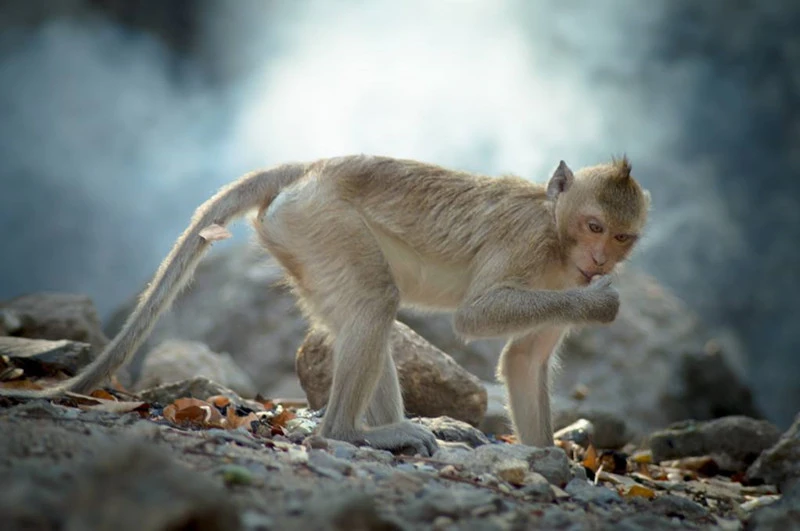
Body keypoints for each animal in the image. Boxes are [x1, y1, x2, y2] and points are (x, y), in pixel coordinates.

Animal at [0, 154, 648, 458]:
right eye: (593, 225)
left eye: (621, 237)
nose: (601, 261)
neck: (556, 233)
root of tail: (313, 166)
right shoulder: (526, 244)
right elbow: (476, 316)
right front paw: (601, 303)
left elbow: (524, 361)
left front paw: (548, 459)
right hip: (320, 220)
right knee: (376, 304)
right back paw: (351, 435)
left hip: (300, 239)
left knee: (363, 312)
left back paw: (394, 428)